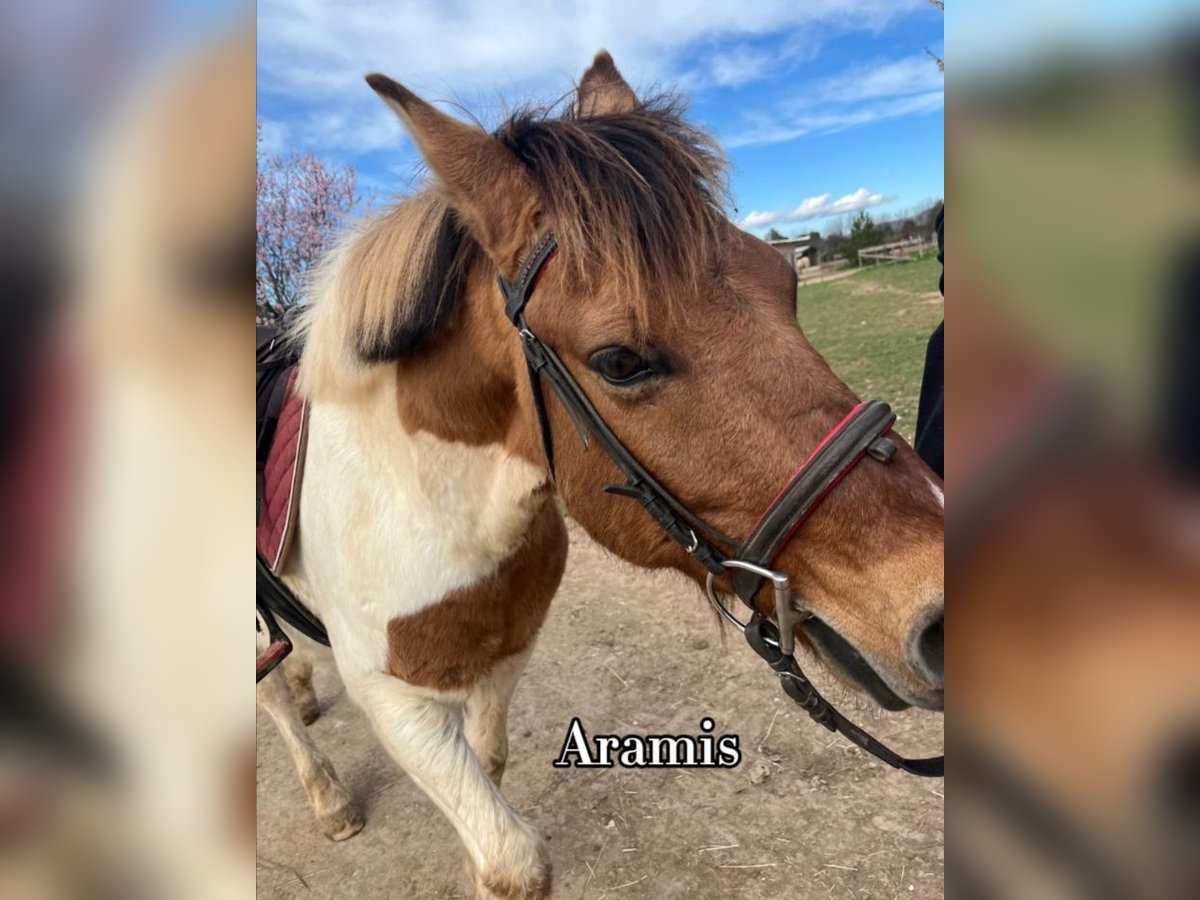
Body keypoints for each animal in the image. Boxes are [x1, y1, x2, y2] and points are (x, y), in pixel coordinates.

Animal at [262, 51, 945, 900]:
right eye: (619, 361)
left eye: (785, 282)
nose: (938, 613)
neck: (419, 505)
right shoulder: (394, 700)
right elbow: (510, 859)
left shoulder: (504, 657)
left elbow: (490, 770)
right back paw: (325, 793)